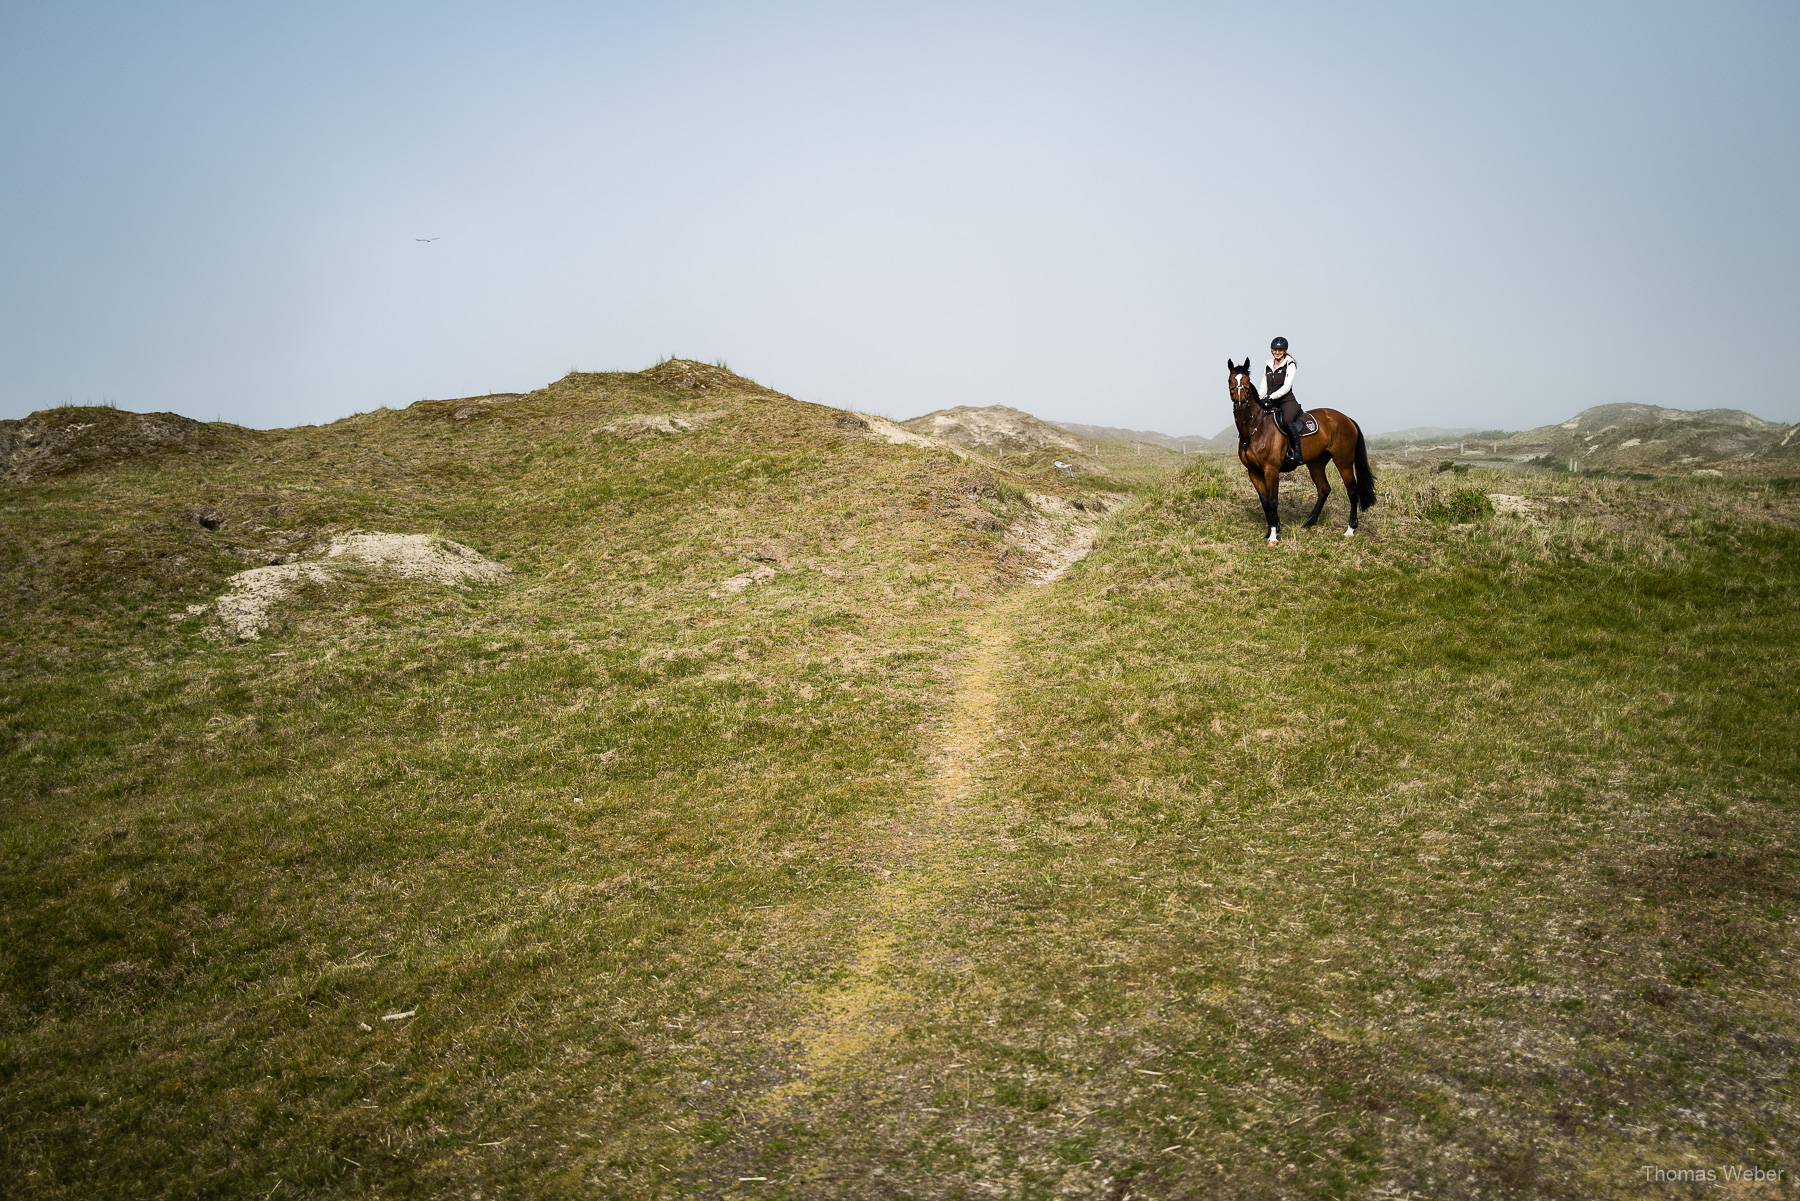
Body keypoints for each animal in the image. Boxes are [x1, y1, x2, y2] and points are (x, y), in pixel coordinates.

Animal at [1224, 356, 1375, 543]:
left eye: (1246, 380)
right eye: (1230, 380)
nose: (1240, 403)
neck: (1255, 428)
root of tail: (1346, 419)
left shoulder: (1271, 470)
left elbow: (1273, 501)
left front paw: (1273, 536)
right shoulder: (1254, 472)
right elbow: (1265, 502)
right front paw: (1271, 530)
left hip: (1344, 461)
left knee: (1352, 491)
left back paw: (1350, 529)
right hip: (1316, 463)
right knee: (1324, 489)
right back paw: (1309, 522)